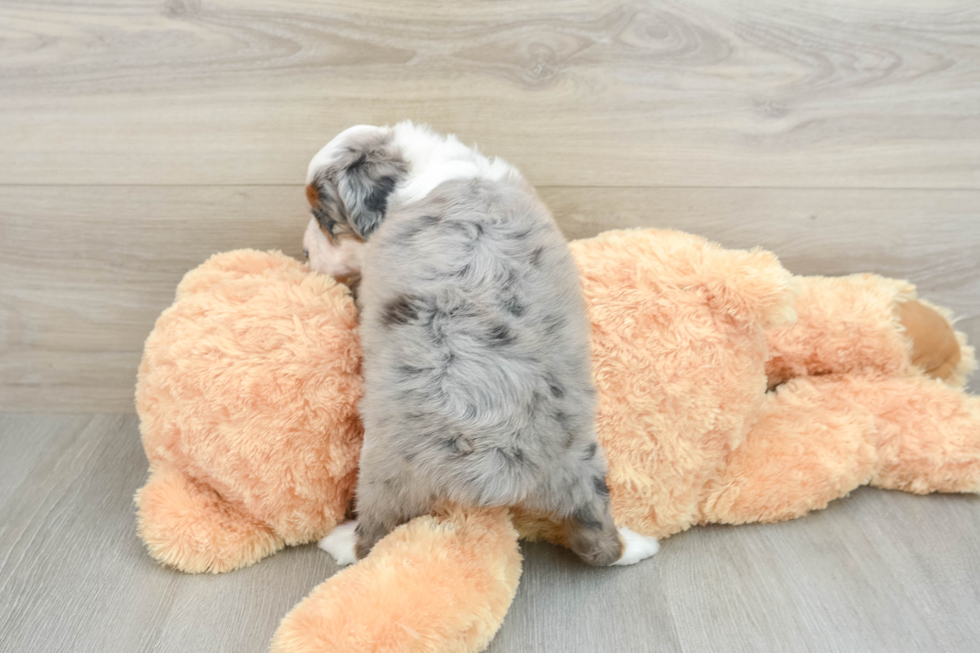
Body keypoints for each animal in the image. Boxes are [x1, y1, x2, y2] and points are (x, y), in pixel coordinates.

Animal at [306, 122, 660, 564]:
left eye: (323, 217)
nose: (304, 255)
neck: (426, 165)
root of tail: (494, 468)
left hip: (381, 470)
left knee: (372, 537)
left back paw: (340, 540)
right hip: (584, 465)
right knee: (600, 543)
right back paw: (638, 544)